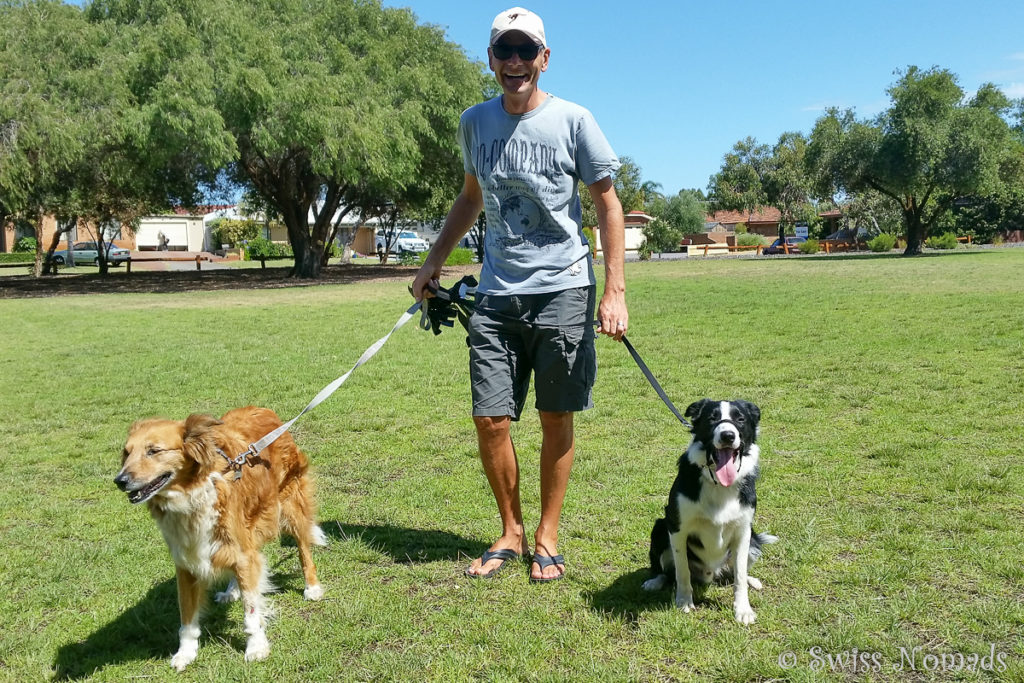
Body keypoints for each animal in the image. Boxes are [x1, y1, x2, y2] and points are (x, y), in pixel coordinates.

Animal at [114, 409, 325, 671]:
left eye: (154, 451)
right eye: (127, 452)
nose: (119, 481)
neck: (191, 495)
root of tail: (265, 410)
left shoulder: (243, 552)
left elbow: (251, 610)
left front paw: (256, 647)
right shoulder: (186, 562)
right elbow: (187, 617)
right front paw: (186, 653)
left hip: (290, 505)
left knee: (303, 547)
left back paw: (312, 586)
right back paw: (232, 590)